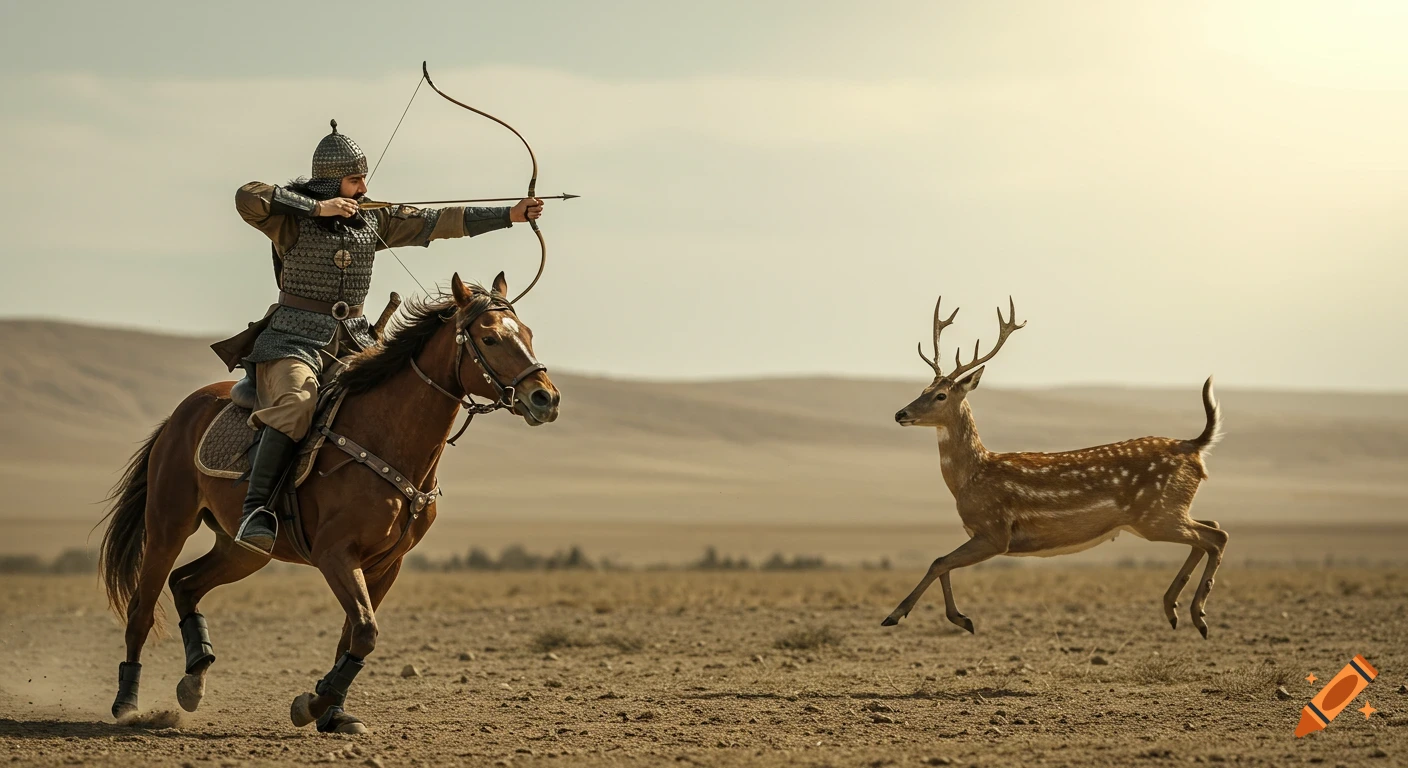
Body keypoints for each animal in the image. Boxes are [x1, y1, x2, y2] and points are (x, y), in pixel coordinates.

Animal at [882, 296, 1227, 638]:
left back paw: (1198, 616)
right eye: (922, 390)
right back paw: (1174, 609)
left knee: (1215, 536)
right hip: (1166, 511)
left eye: (940, 395)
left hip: (1156, 514)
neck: (971, 478)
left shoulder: (995, 530)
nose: (900, 414)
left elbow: (939, 561)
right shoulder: (986, 534)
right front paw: (960, 618)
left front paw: (898, 615)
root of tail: (1193, 446)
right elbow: (942, 563)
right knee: (1211, 528)